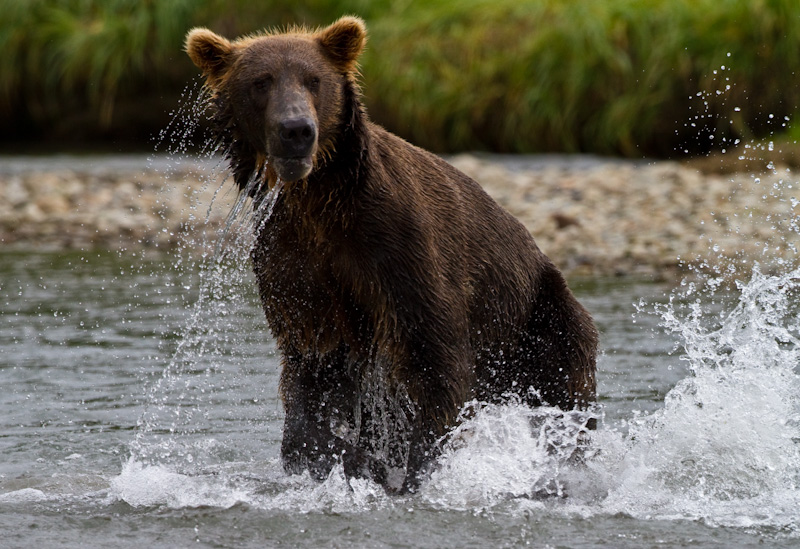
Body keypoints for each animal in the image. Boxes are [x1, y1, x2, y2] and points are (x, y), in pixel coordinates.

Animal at [184, 16, 596, 492]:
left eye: (314, 79)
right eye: (261, 81)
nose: (296, 130)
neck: (318, 203)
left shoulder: (397, 248)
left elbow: (435, 358)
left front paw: (410, 469)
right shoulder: (292, 263)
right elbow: (310, 369)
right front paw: (354, 460)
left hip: (535, 317)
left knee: (564, 386)